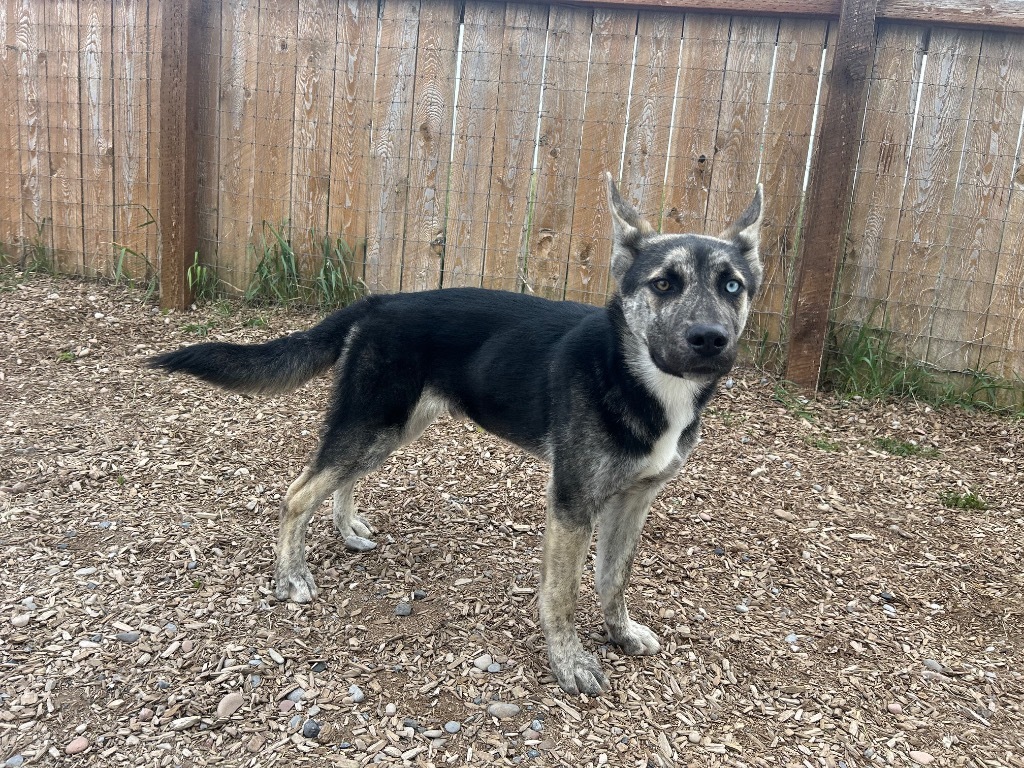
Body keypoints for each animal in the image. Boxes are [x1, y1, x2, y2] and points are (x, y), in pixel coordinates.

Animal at [149, 176, 761, 696]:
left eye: (732, 286)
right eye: (664, 284)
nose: (710, 339)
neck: (634, 372)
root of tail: (379, 302)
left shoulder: (633, 501)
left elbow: (614, 579)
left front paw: (621, 634)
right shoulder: (571, 504)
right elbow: (561, 594)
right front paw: (570, 663)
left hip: (390, 430)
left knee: (338, 481)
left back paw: (347, 530)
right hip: (372, 422)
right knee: (297, 494)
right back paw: (292, 577)